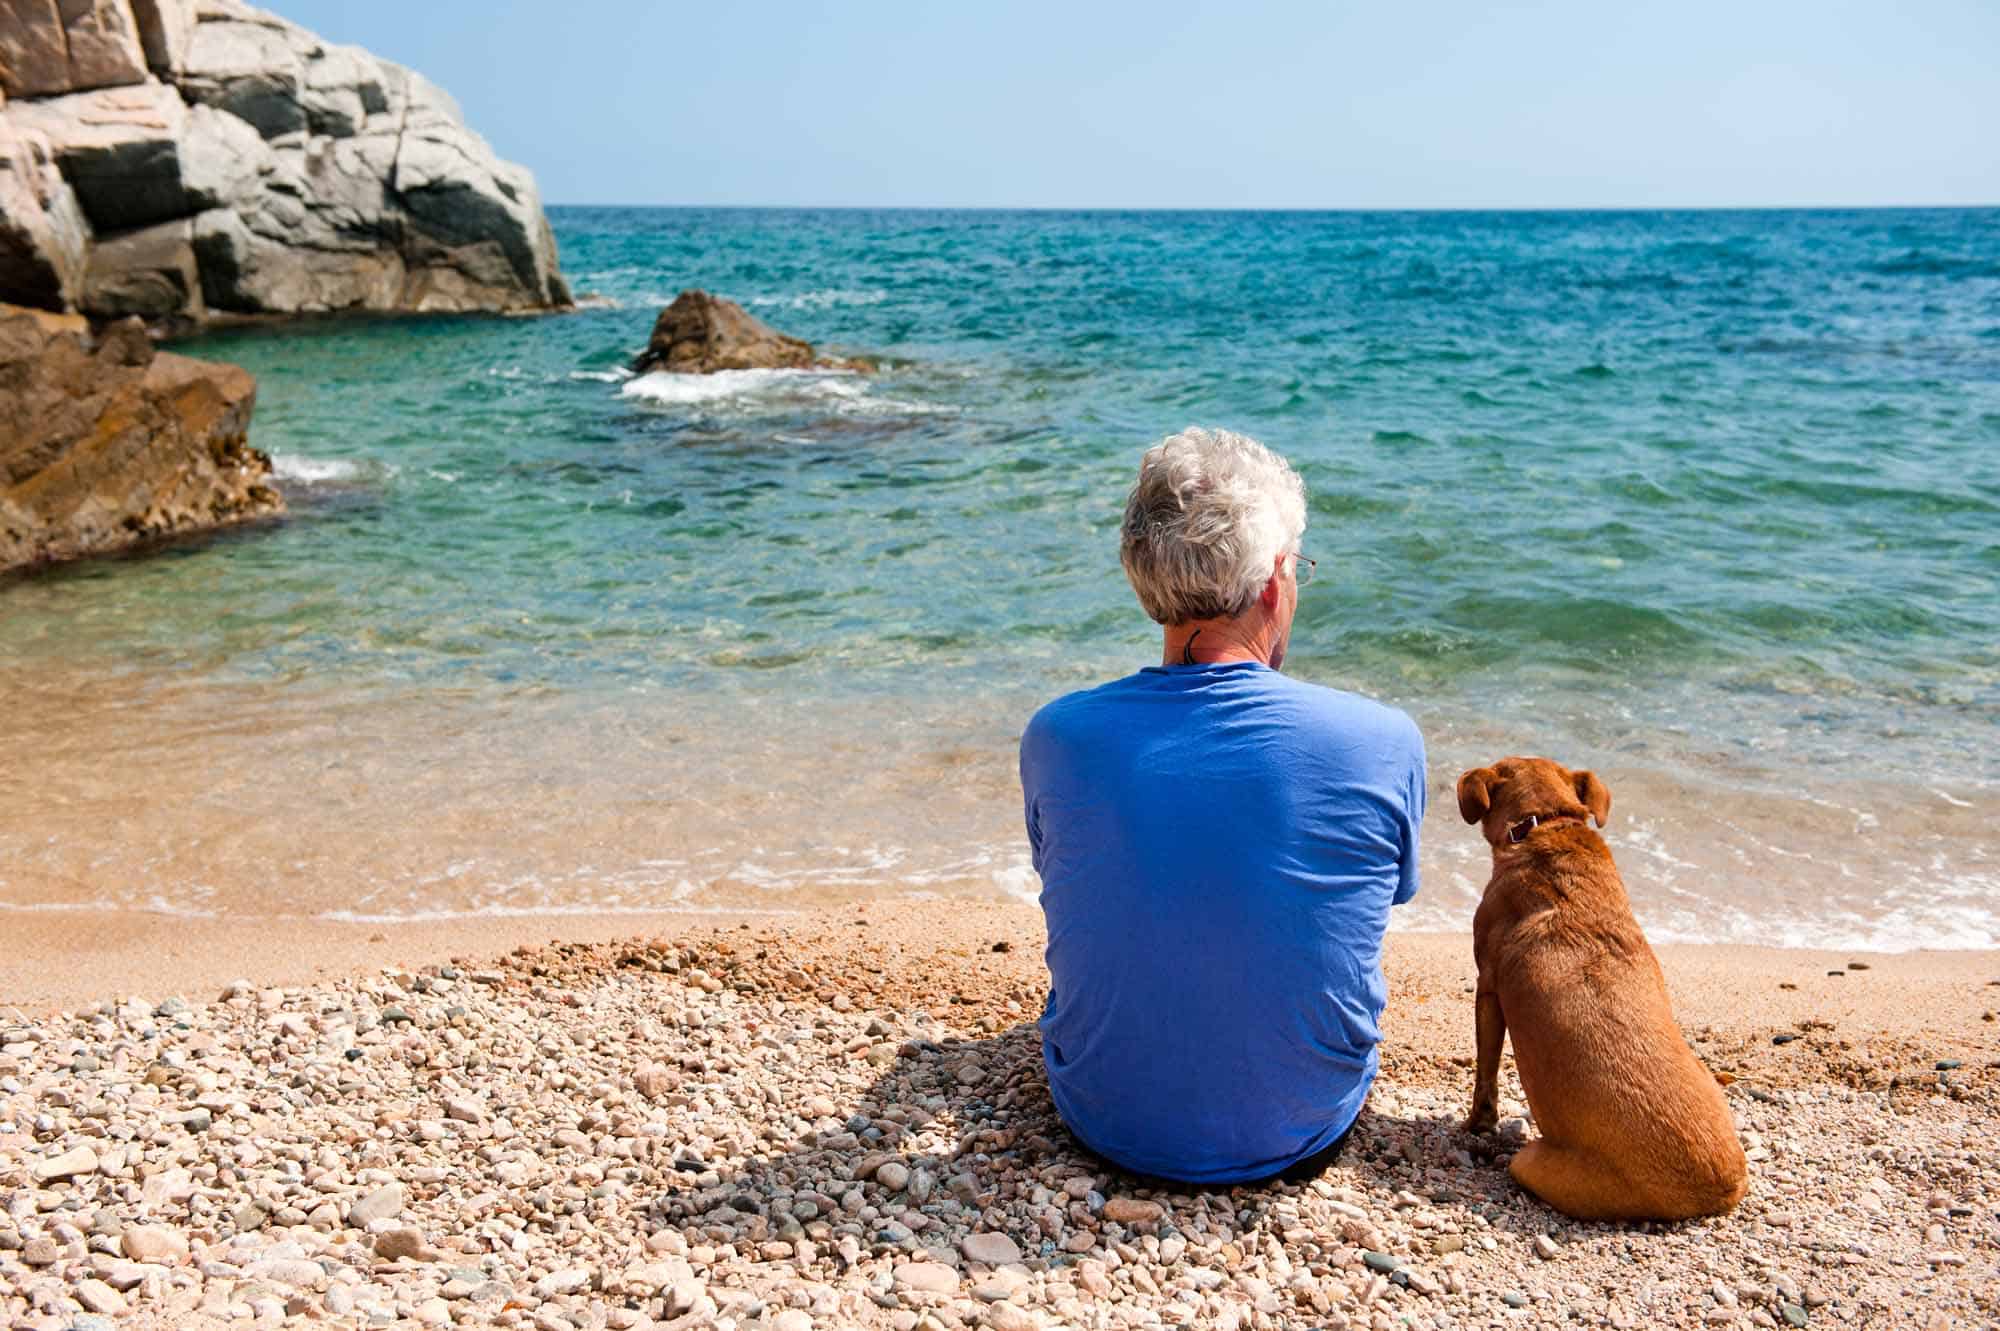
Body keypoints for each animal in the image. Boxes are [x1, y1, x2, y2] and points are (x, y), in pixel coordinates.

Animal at [1456, 751, 1752, 1215]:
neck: (1547, 823)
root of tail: (1721, 1189)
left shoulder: (1487, 988)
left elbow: (1485, 1072)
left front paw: (1477, 1126)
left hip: (1535, 1162)